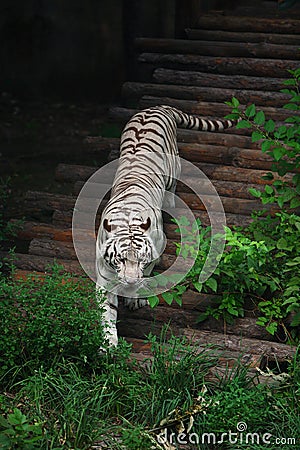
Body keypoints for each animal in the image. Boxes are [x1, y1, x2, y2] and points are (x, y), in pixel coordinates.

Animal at [96, 105, 239, 348]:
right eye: (121, 259)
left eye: (141, 259)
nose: (130, 282)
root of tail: (156, 107)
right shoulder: (105, 275)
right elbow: (107, 312)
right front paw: (108, 345)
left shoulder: (157, 248)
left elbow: (147, 273)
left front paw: (135, 299)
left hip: (174, 166)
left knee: (172, 185)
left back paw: (170, 202)